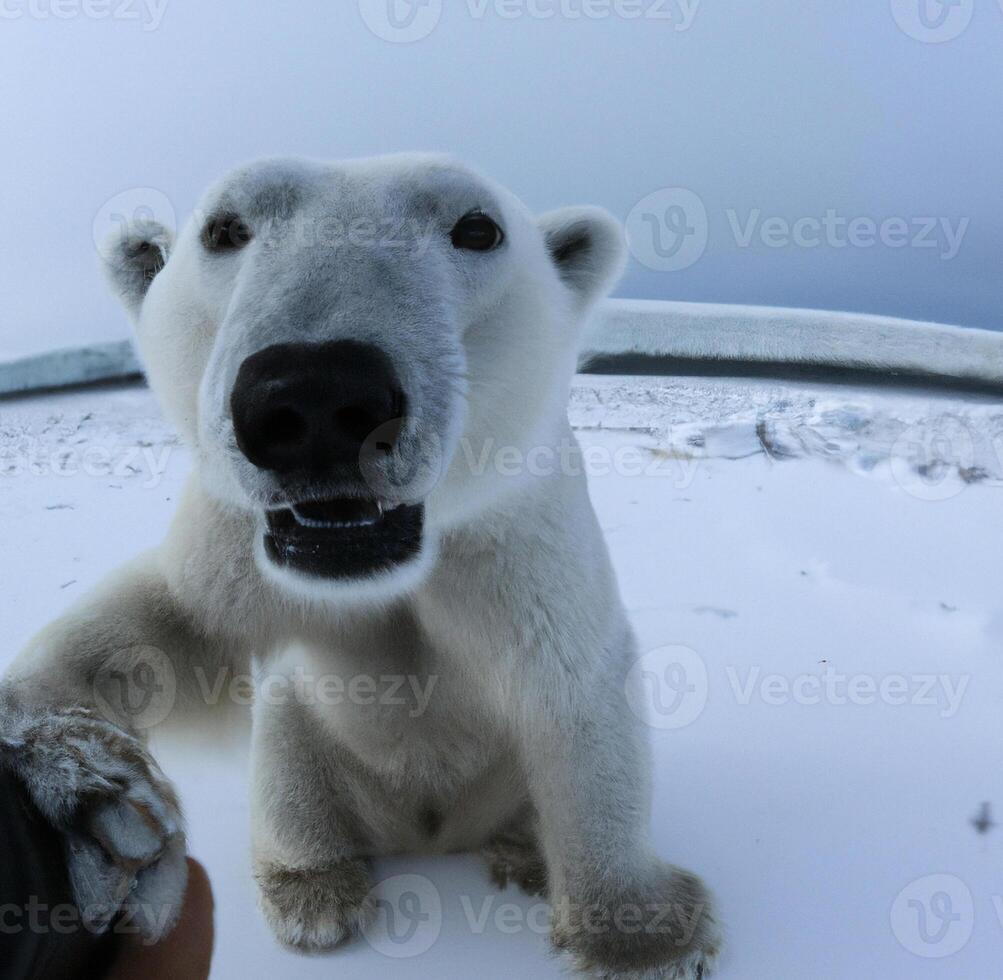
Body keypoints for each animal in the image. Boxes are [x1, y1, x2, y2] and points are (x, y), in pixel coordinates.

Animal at [0, 156, 722, 974]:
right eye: (224, 228)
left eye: (478, 228)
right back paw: (314, 893)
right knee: (288, 766)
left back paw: (521, 856)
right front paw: (89, 796)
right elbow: (168, 625)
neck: (388, 568)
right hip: (315, 756)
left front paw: (641, 935)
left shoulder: (514, 543)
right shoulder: (236, 543)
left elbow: (571, 688)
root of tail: (431, 833)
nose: (316, 395)